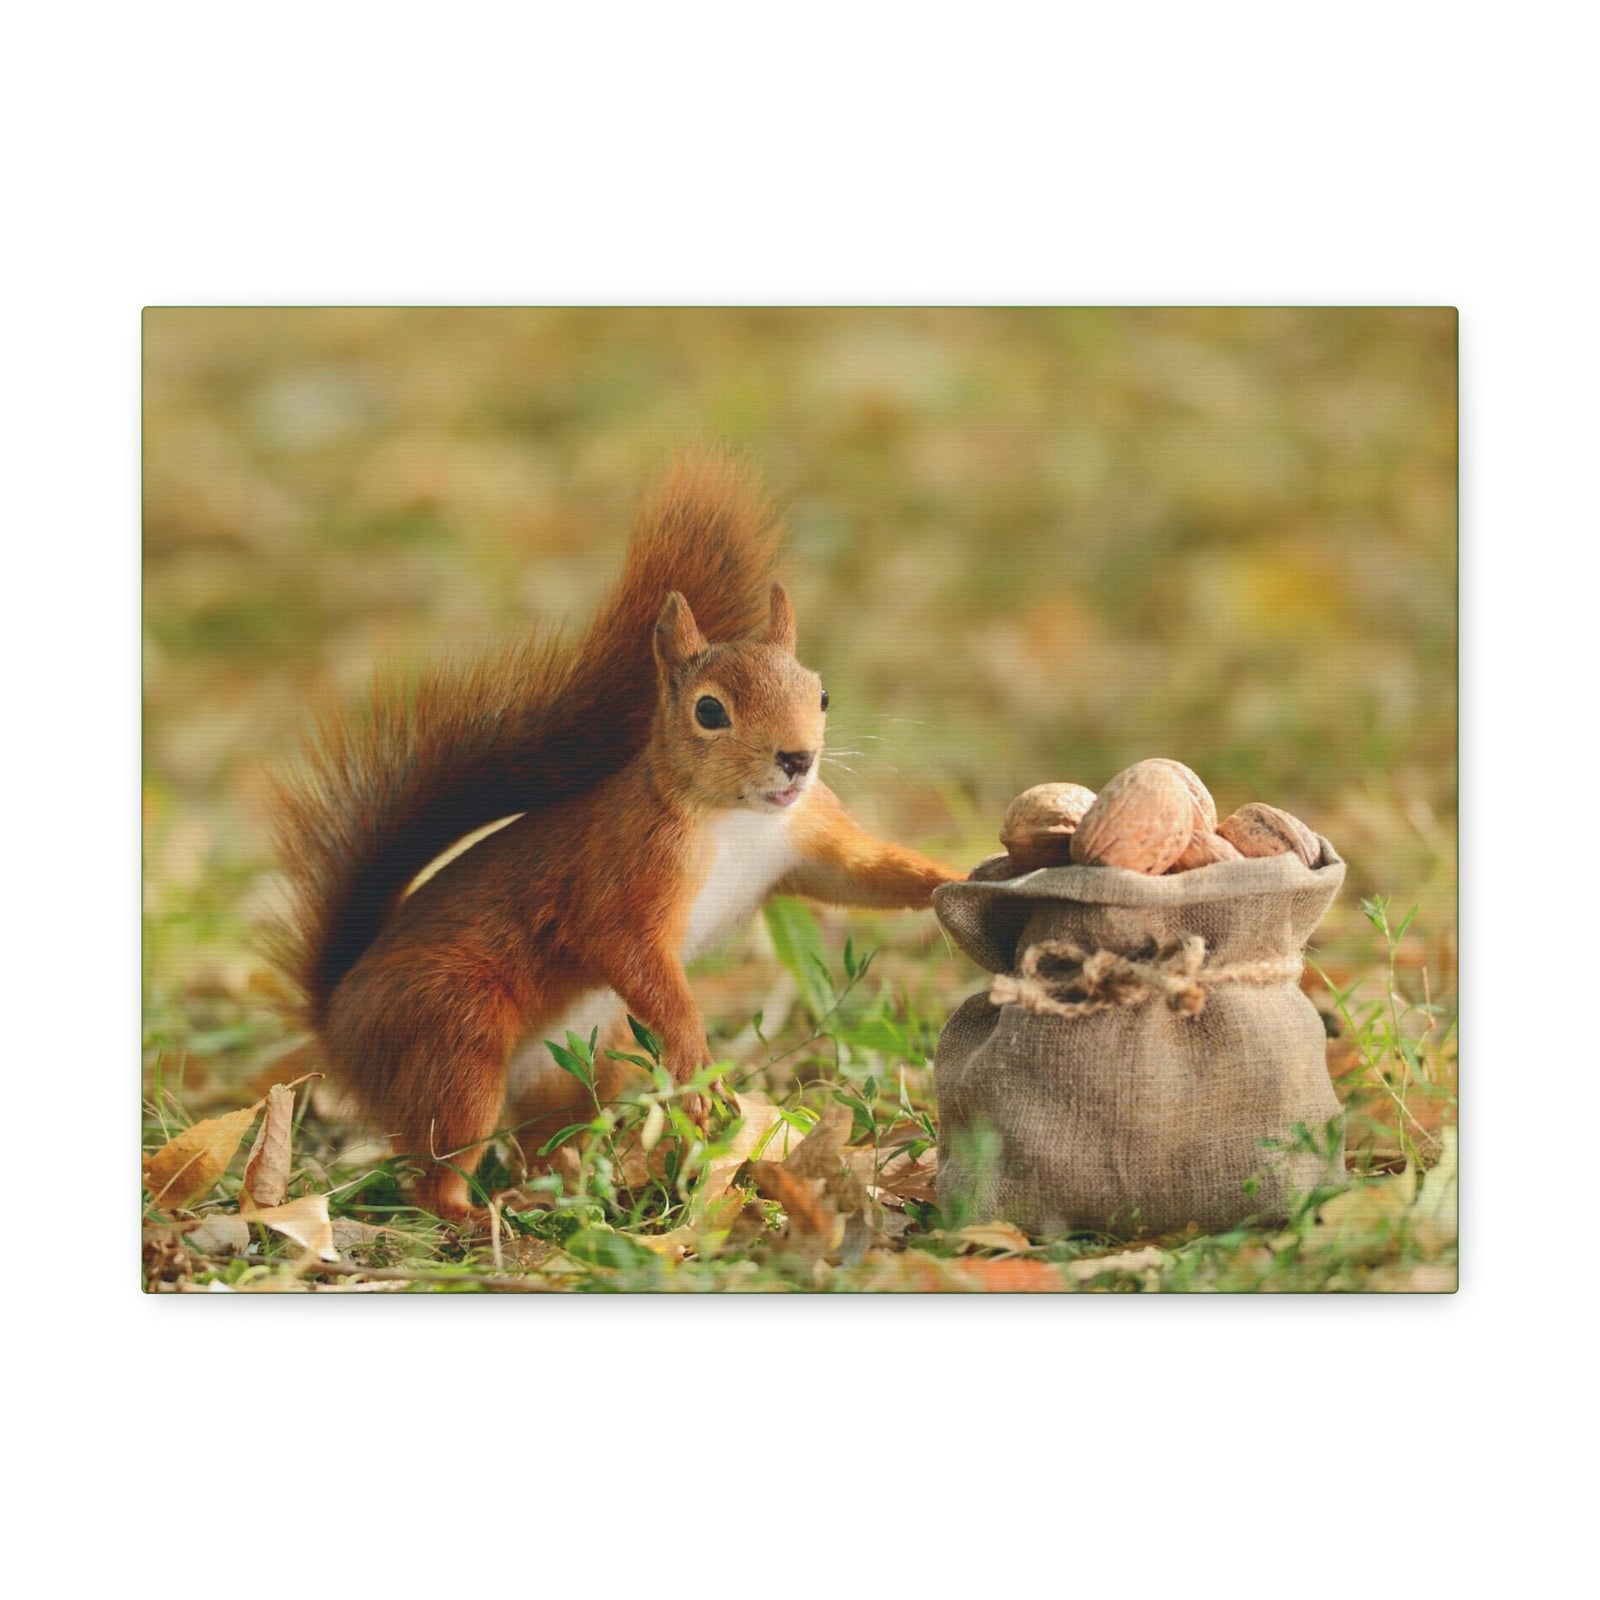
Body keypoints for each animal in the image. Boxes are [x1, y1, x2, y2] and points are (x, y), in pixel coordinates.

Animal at [271, 454, 962, 1221]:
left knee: (543, 1139)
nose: (797, 759)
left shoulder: (806, 835)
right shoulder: (627, 869)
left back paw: (573, 1186)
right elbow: (623, 946)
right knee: (436, 1163)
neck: (739, 819)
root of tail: (336, 1020)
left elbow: (865, 875)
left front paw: (957, 878)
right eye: (710, 711)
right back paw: (475, 1212)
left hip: (572, 1070)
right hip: (453, 1035)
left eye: (821, 694)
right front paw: (698, 1066)